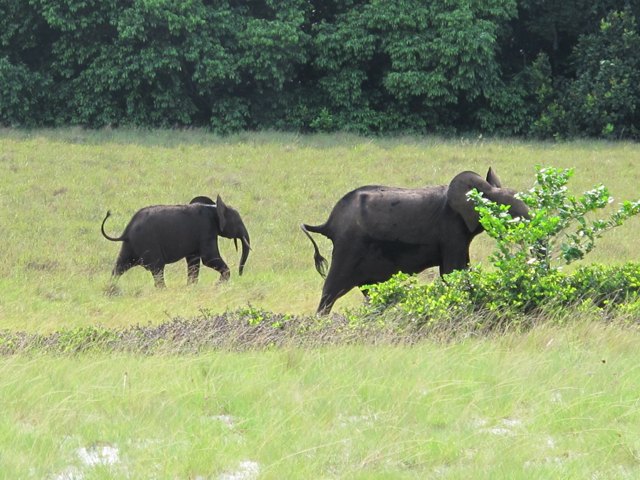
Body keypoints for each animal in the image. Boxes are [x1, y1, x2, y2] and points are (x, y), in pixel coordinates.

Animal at [102, 194, 250, 286]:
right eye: (238, 222)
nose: (241, 274)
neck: (213, 207)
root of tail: (126, 231)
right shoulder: (206, 230)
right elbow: (208, 258)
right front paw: (218, 285)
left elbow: (194, 261)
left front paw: (191, 287)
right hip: (147, 243)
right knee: (157, 268)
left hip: (130, 245)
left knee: (119, 267)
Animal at [302, 169, 528, 316]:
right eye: (507, 210)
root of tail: (328, 223)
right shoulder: (451, 229)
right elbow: (451, 272)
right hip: (349, 245)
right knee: (332, 288)